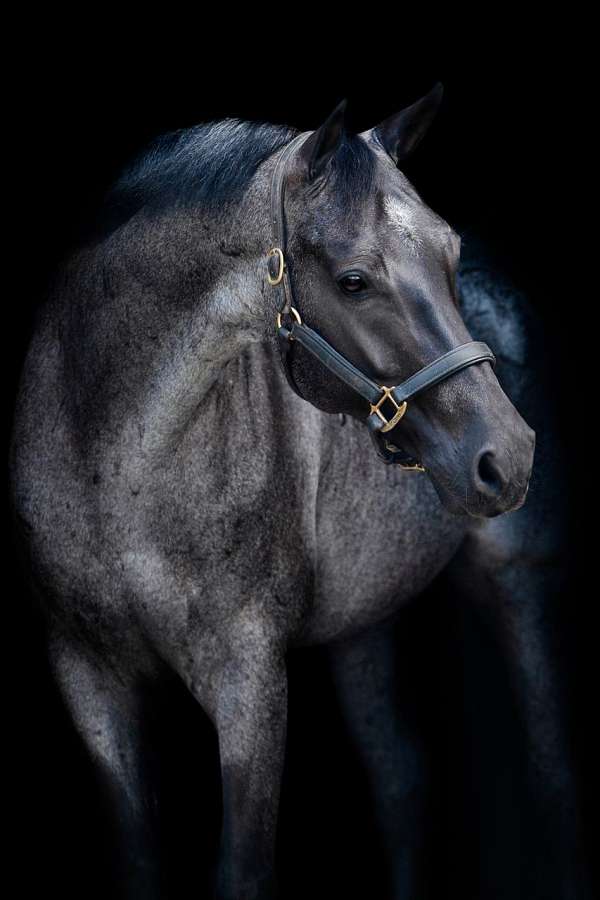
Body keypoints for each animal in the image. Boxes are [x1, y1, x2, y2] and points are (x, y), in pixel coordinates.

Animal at [10, 87, 587, 898]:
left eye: (448, 252)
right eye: (353, 280)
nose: (505, 455)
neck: (115, 463)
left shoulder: (249, 684)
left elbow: (244, 871)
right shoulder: (88, 677)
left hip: (520, 584)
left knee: (551, 783)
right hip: (362, 619)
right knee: (401, 780)